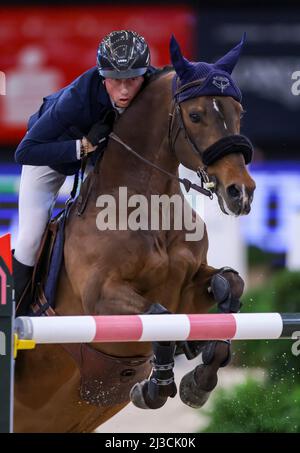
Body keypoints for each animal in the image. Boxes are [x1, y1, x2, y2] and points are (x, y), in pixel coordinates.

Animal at [13, 35, 255, 430]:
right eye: (196, 115)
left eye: (239, 112)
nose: (242, 192)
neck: (147, 210)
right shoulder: (100, 298)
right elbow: (160, 318)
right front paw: (156, 386)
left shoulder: (188, 289)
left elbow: (230, 284)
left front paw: (199, 380)